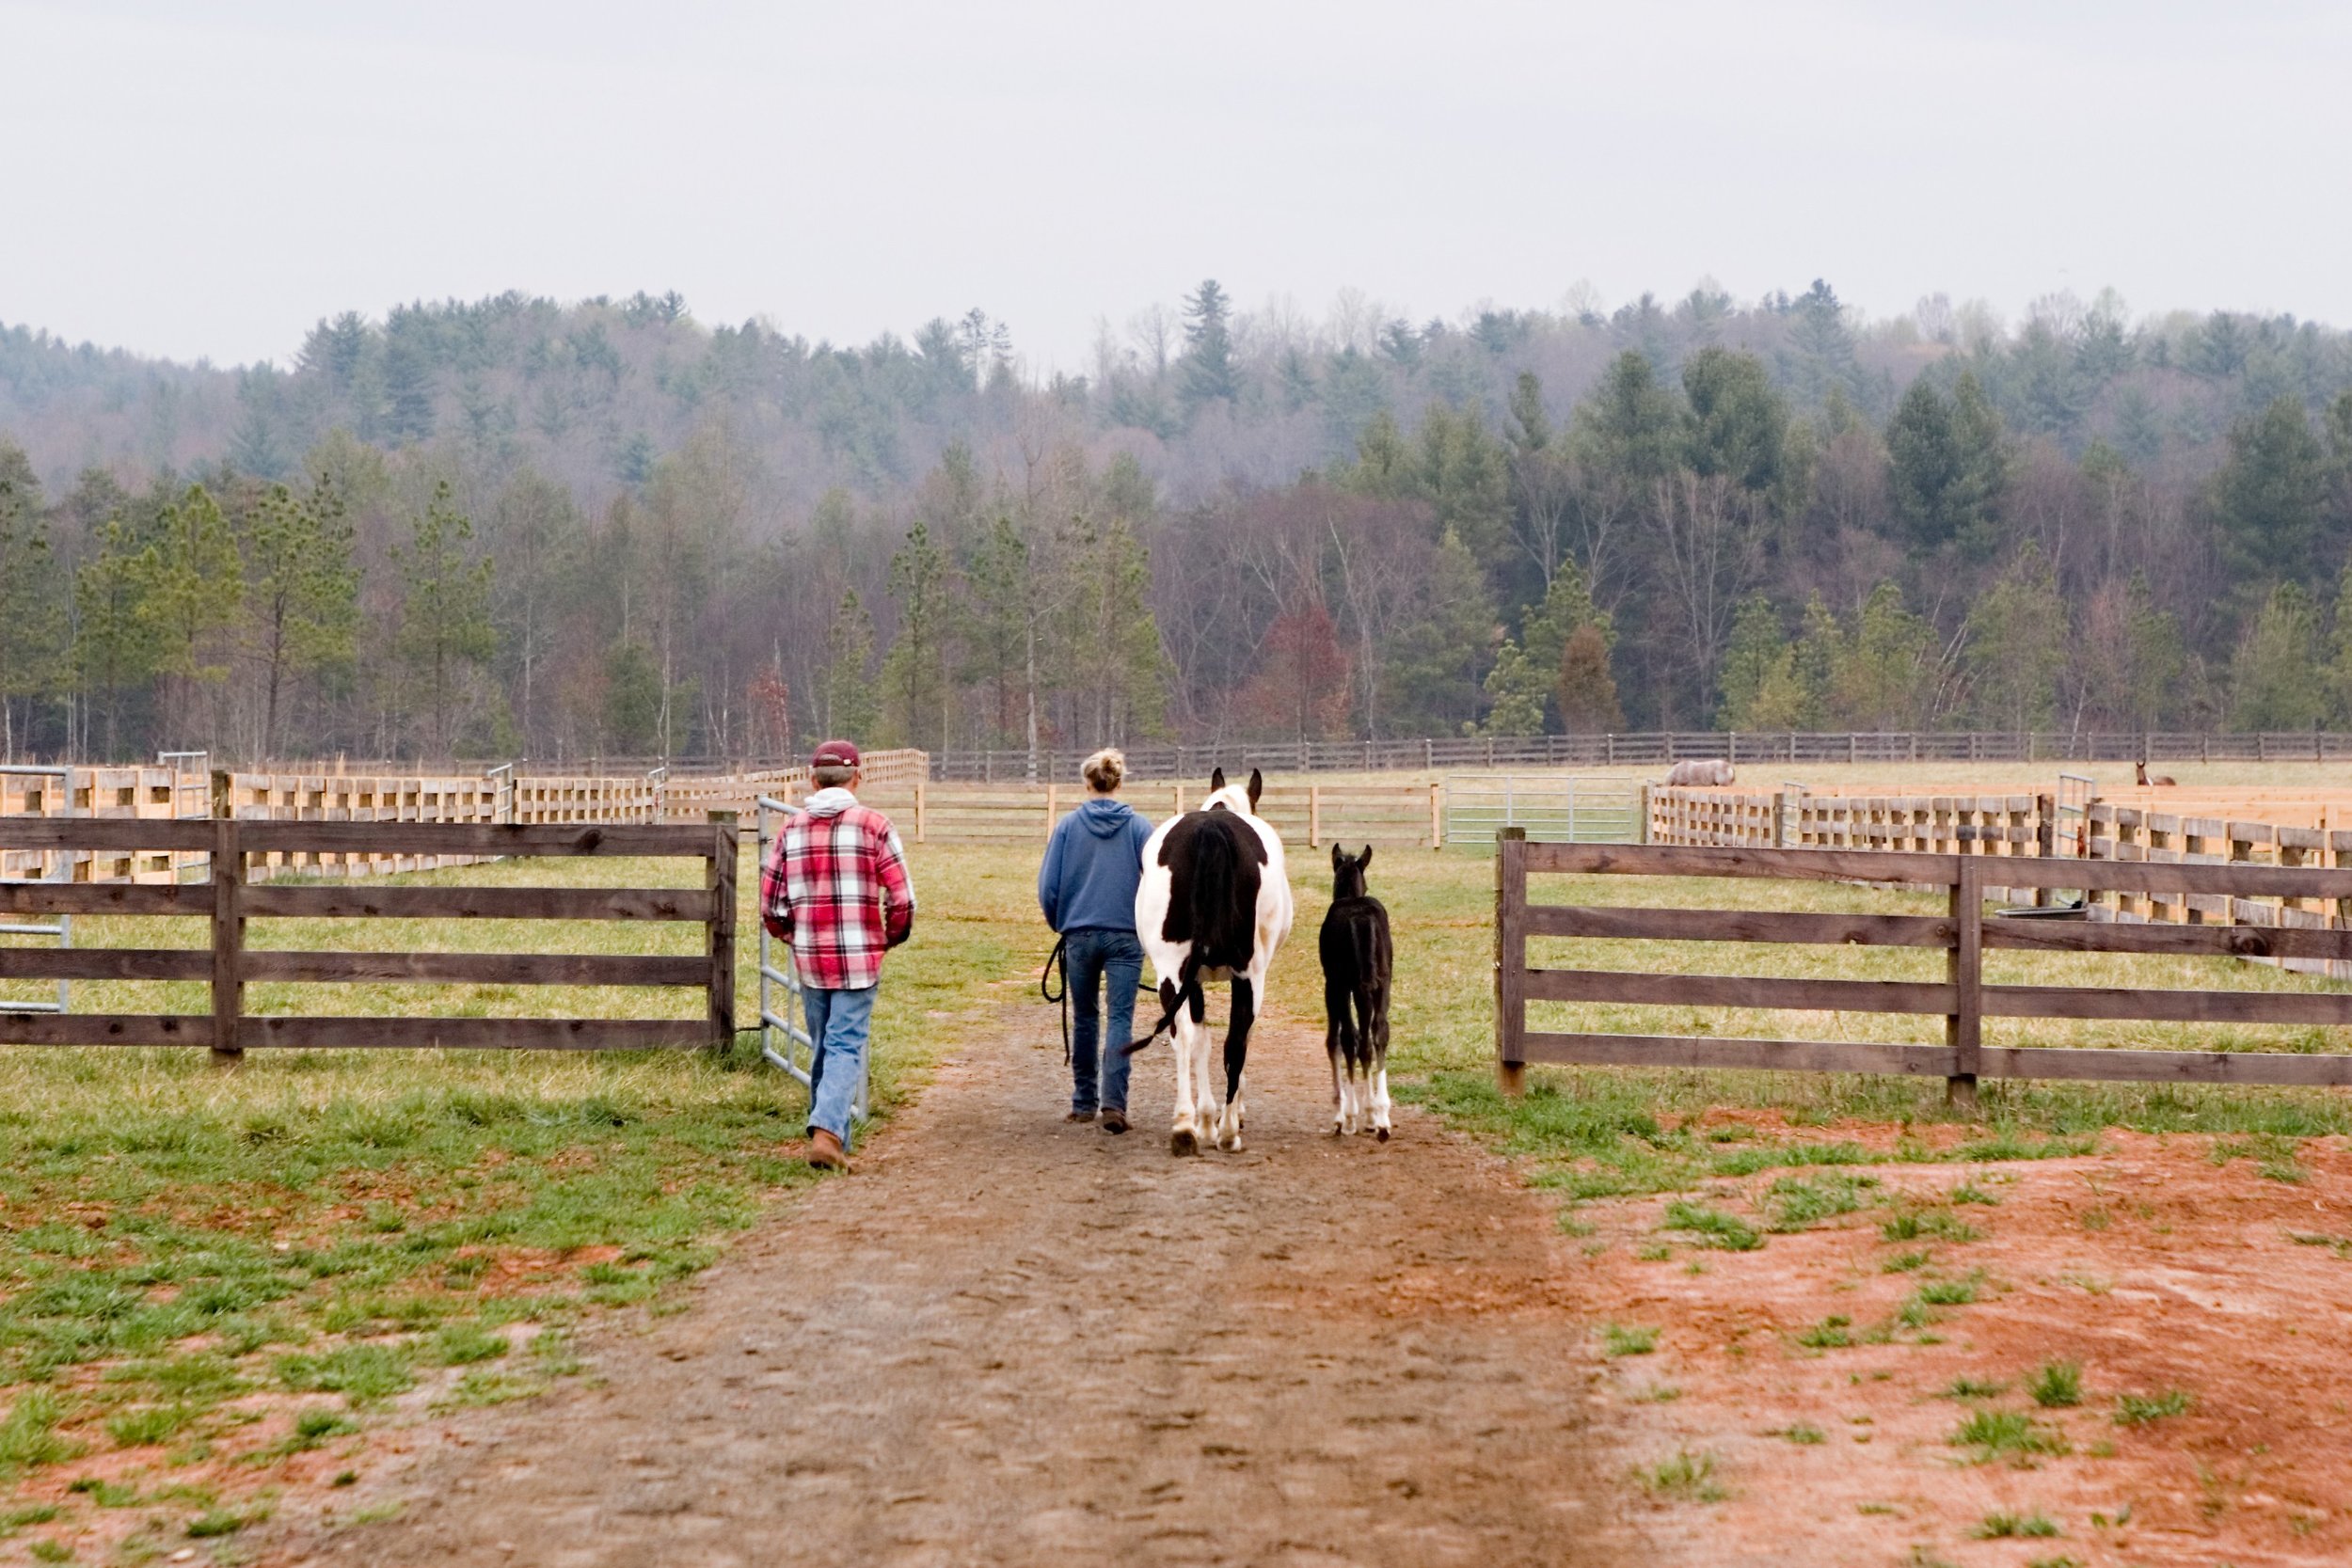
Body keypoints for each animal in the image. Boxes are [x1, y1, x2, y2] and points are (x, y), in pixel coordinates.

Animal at [1129, 770, 1298, 1151]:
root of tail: (1211, 830)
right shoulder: (1248, 978)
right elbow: (1237, 1040)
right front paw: (1221, 1119)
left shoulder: (1193, 981)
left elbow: (1200, 1041)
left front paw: (1205, 1120)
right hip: (1249, 975)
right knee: (1235, 1042)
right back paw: (1228, 1132)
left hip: (1171, 973)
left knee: (1183, 1037)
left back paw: (1184, 1127)